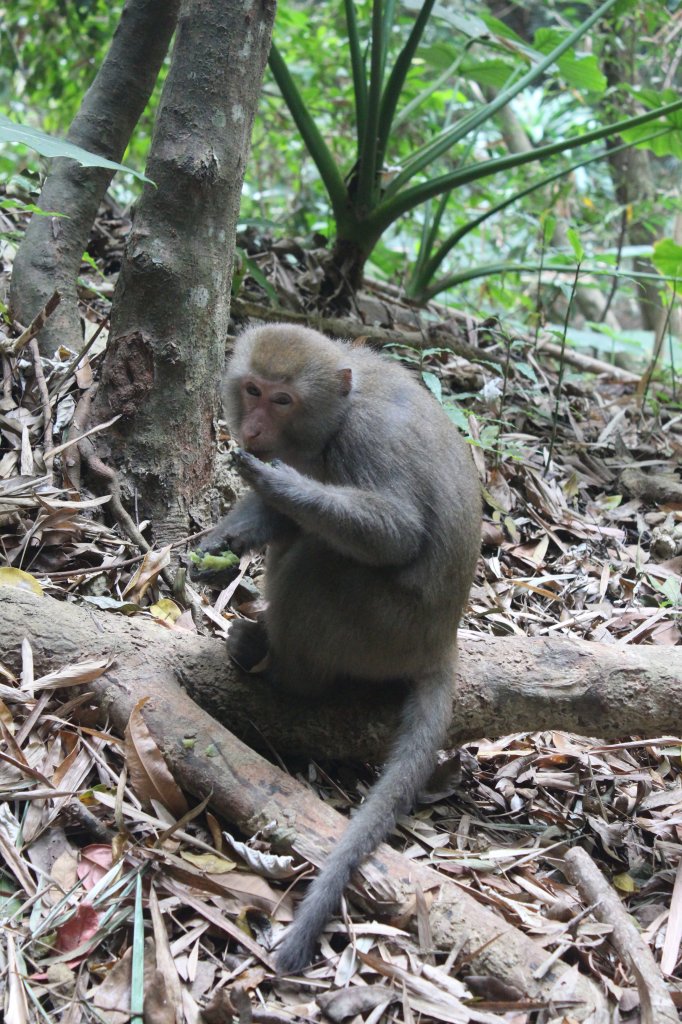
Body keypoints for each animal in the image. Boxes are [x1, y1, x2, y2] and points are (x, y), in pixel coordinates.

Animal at [197, 323, 477, 970]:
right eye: (252, 390)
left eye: (282, 400)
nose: (252, 429)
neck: (334, 419)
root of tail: (441, 641)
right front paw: (224, 540)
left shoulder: (364, 442)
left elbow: (397, 532)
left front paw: (277, 480)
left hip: (386, 632)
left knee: (317, 561)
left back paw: (287, 675)